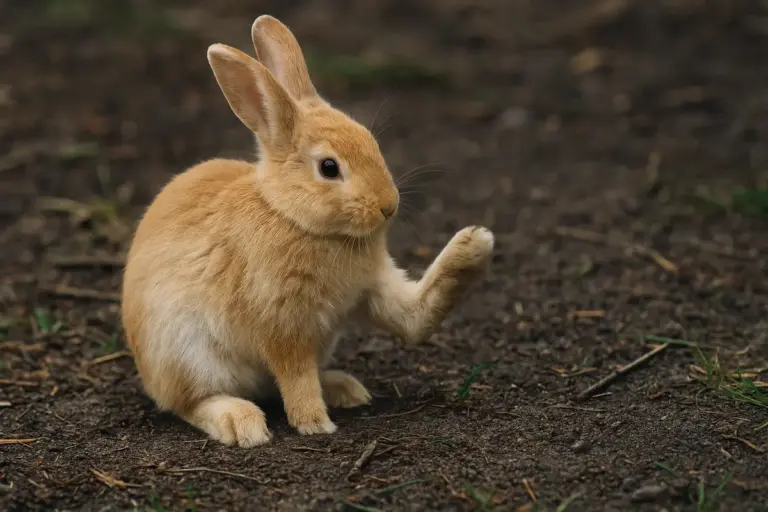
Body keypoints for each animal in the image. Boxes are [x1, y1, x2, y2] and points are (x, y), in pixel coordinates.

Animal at [121, 15, 495, 447]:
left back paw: (344, 388)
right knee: (191, 402)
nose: (388, 206)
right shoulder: (283, 323)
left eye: (371, 142)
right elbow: (295, 375)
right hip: (187, 354)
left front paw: (475, 244)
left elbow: (414, 318)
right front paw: (314, 423)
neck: (294, 217)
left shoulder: (373, 288)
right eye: (329, 168)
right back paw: (241, 422)